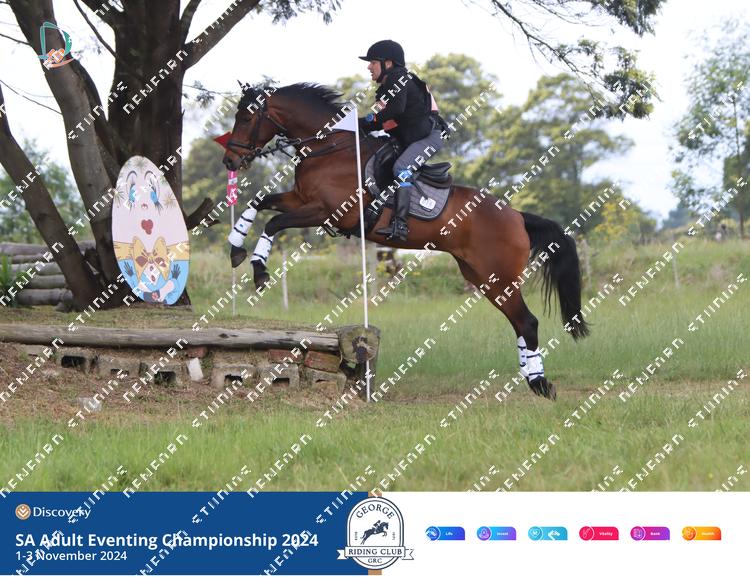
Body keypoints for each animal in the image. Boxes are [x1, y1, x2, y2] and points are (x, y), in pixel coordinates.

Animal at [221, 82, 590, 400]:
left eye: (247, 118)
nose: (229, 161)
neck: (329, 148)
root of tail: (515, 215)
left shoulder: (325, 211)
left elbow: (273, 222)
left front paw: (259, 270)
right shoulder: (299, 200)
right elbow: (259, 203)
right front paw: (236, 248)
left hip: (498, 277)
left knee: (527, 322)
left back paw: (540, 384)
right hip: (481, 277)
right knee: (519, 324)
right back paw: (532, 380)